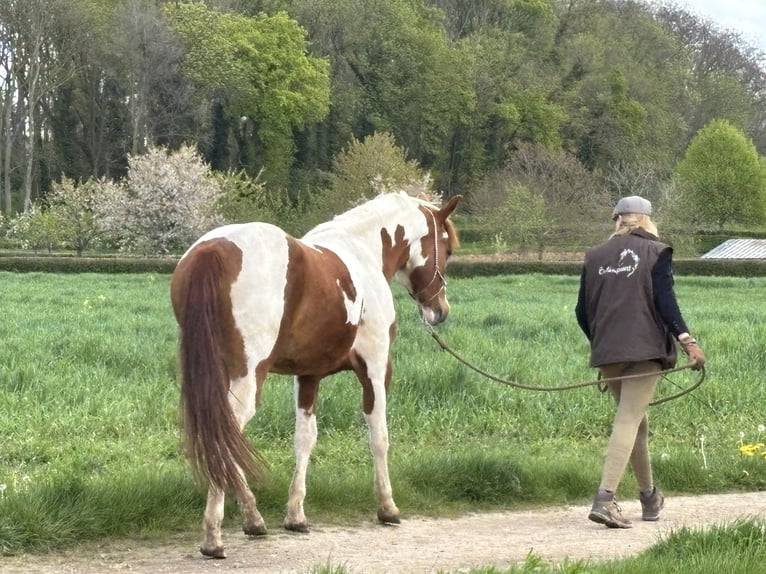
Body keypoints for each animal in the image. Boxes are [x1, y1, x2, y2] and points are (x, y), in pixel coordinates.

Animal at [170, 190, 461, 558]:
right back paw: (214, 535)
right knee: (226, 435)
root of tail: (213, 251)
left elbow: (305, 439)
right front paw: (387, 507)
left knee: (223, 437)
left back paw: (252, 518)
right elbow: (379, 436)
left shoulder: (308, 375)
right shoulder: (376, 368)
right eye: (447, 249)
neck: (363, 250)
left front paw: (296, 515)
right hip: (247, 379)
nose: (439, 310)